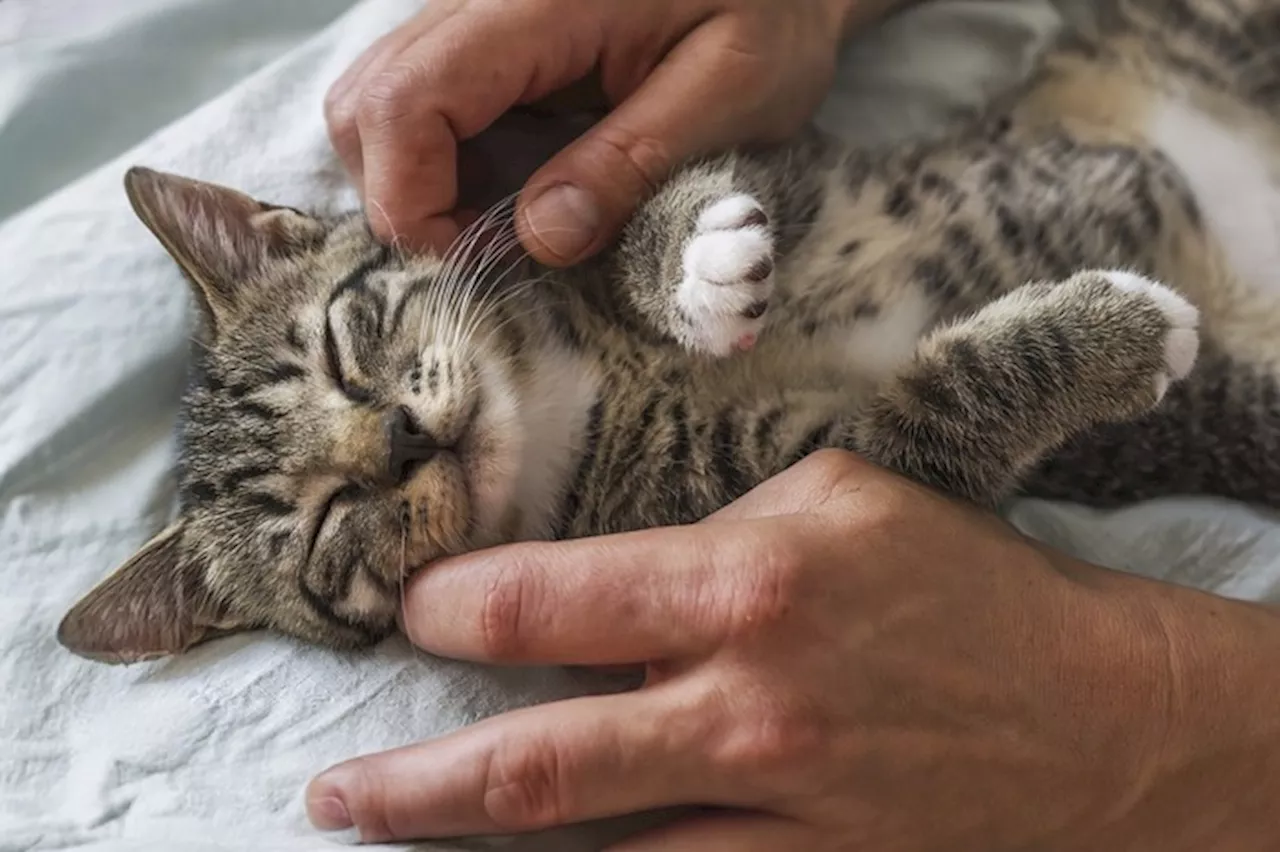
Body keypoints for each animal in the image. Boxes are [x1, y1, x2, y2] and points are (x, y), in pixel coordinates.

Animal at [57, 0, 1280, 665]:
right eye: (321, 526)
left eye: (345, 350)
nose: (403, 441)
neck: (579, 389)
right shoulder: (810, 469)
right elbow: (929, 412)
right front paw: (1122, 334)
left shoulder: (795, 161)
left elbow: (652, 199)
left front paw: (690, 264)